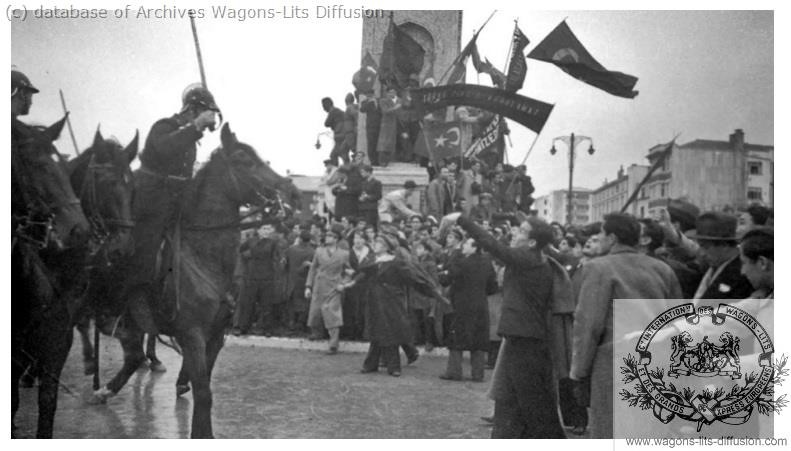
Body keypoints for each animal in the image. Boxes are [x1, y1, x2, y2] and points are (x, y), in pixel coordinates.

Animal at [89, 122, 298, 438]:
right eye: (244, 159)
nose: (292, 192)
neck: (202, 258)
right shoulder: (193, 334)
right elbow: (203, 393)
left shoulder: (216, 336)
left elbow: (205, 389)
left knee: (134, 356)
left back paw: (106, 389)